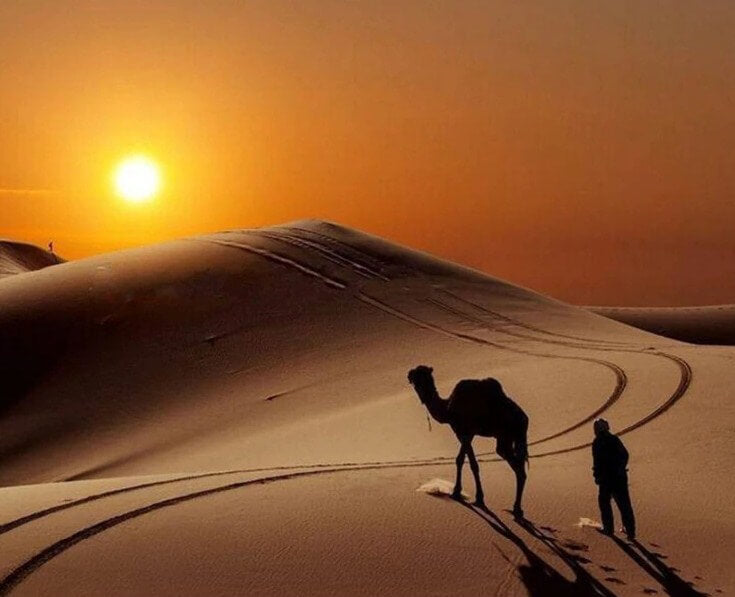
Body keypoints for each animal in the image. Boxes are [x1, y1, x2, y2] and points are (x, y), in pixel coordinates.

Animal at [407, 365, 529, 516]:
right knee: (518, 465)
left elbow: (464, 461)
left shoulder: (464, 431)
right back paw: (518, 509)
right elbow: (465, 460)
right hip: (511, 438)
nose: (408, 374)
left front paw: (462, 493)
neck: (448, 408)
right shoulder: (466, 433)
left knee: (518, 469)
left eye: (421, 375)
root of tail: (524, 420)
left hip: (506, 435)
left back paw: (516, 509)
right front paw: (468, 494)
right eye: (415, 377)